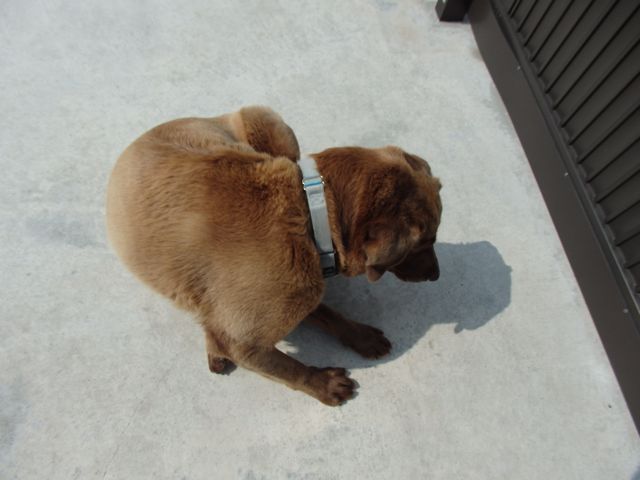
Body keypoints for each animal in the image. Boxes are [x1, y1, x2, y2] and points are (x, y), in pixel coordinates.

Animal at [106, 106, 442, 405]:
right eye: (427, 241)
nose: (436, 275)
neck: (310, 214)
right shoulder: (244, 339)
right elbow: (287, 368)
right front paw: (323, 384)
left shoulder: (301, 284)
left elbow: (324, 310)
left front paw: (358, 334)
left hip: (269, 122)